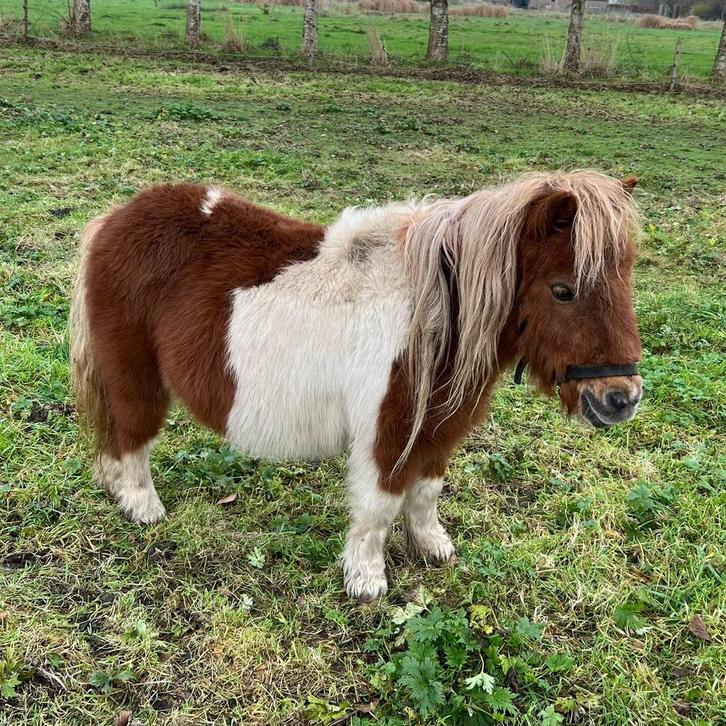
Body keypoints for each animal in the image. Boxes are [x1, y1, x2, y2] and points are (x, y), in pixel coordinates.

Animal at [70, 170, 643, 602]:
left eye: (625, 279)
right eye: (563, 290)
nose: (622, 398)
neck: (431, 315)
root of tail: (113, 221)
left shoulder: (439, 428)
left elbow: (426, 493)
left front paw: (432, 546)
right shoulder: (388, 432)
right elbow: (378, 507)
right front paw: (366, 580)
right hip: (136, 377)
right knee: (132, 439)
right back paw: (142, 508)